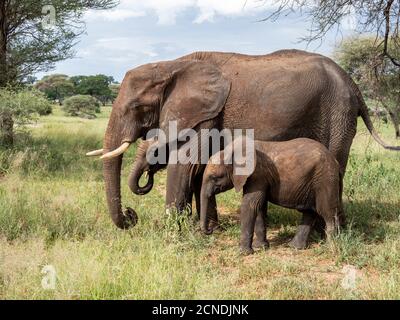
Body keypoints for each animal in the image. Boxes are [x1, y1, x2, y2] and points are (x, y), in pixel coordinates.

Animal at [200, 136, 344, 254]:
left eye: (214, 177)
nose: (209, 231)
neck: (231, 151)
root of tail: (336, 162)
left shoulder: (258, 175)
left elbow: (250, 204)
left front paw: (243, 253)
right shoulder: (258, 178)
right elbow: (259, 206)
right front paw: (261, 247)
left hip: (325, 179)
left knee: (327, 213)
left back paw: (330, 248)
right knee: (309, 212)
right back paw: (295, 247)